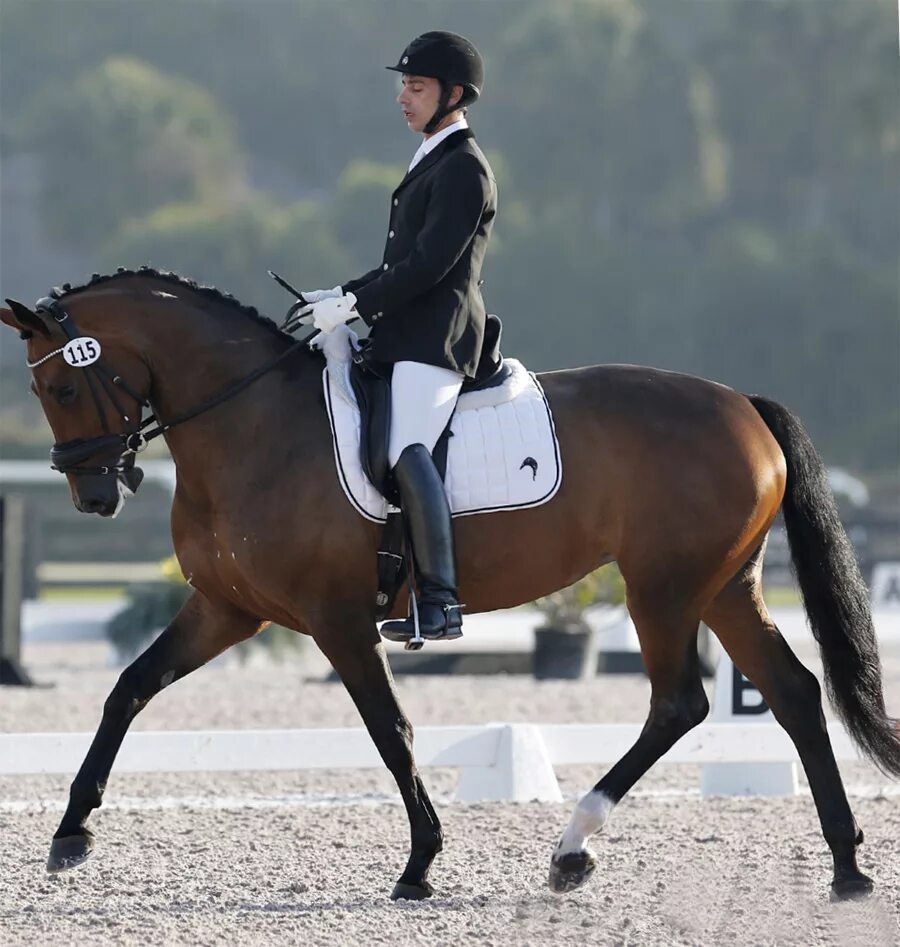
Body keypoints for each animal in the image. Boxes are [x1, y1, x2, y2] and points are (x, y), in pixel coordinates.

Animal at [3, 268, 896, 904]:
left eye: (65, 386)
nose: (94, 495)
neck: (251, 425)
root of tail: (740, 401)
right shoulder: (227, 609)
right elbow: (128, 687)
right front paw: (70, 832)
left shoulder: (336, 620)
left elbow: (390, 729)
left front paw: (420, 863)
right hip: (723, 585)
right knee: (792, 691)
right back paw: (846, 866)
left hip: (664, 589)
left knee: (681, 702)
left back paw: (572, 848)